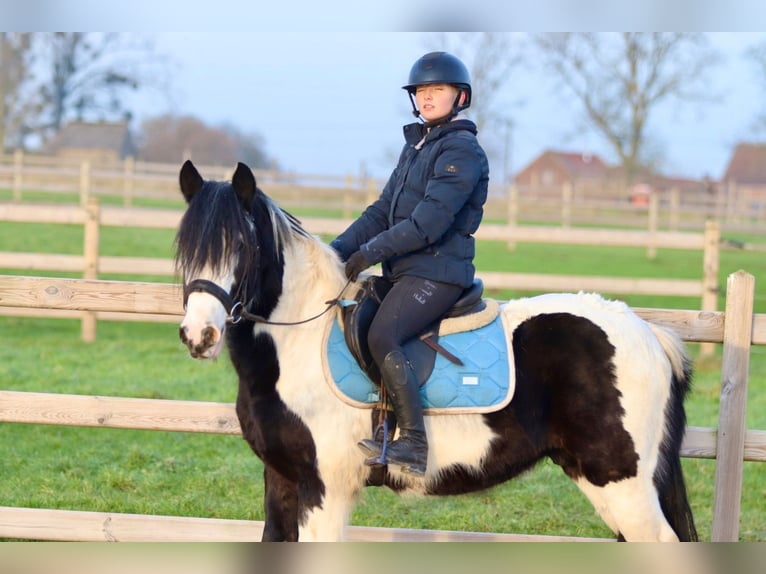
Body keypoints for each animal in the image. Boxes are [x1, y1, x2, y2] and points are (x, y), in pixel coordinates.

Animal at [176, 161, 704, 544]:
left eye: (243, 246)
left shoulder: (324, 490)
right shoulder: (283, 481)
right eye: (184, 246)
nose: (199, 335)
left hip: (621, 483)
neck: (298, 342)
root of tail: (648, 333)